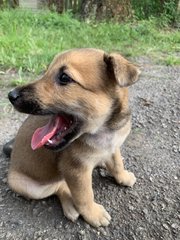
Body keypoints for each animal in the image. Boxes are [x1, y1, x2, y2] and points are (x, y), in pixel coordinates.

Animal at [7, 47, 141, 227]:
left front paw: (123, 176)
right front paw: (93, 213)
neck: (104, 129)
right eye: (46, 72)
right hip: (32, 188)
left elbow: (117, 163)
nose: (11, 95)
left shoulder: (113, 147)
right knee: (59, 186)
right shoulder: (76, 169)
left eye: (64, 77)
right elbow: (84, 195)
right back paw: (71, 207)